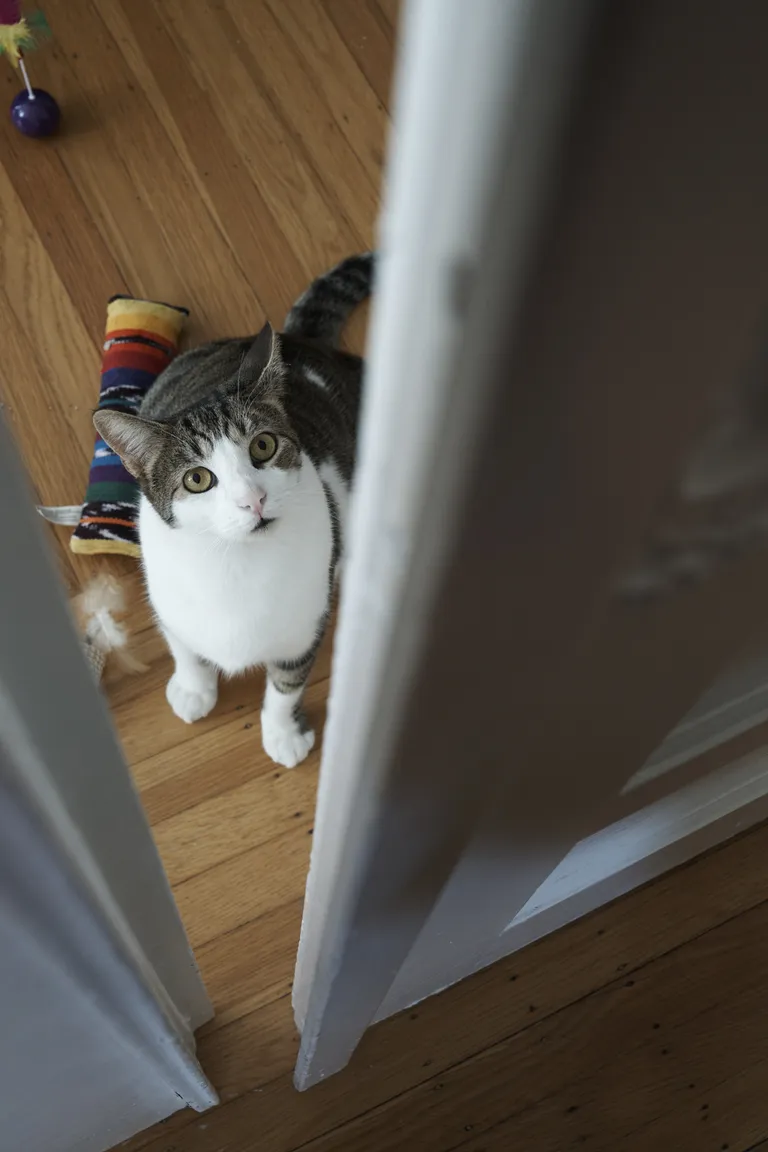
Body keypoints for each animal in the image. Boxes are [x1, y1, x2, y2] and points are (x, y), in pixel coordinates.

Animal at [91, 256, 373, 769]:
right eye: (197, 479)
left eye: (263, 446)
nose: (252, 499)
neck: (235, 561)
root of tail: (297, 343)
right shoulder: (167, 597)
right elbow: (183, 645)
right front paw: (193, 688)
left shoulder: (303, 624)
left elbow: (286, 683)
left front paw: (282, 733)